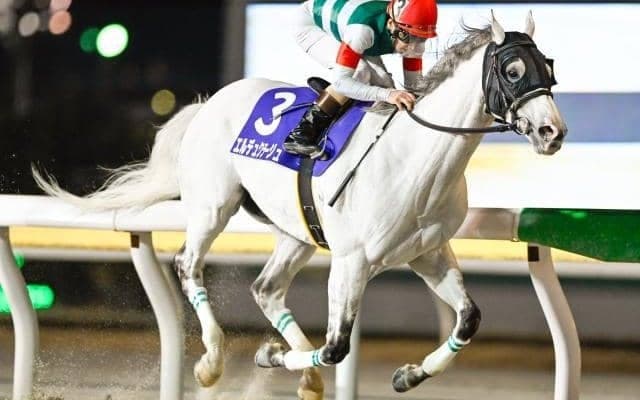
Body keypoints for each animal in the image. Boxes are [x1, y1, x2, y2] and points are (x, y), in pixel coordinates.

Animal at [33, 12, 566, 399]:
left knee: (266, 289)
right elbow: (335, 347)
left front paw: (408, 375)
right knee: (188, 264)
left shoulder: (428, 254)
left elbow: (469, 318)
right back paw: (212, 360)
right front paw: (268, 357)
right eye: (512, 71)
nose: (552, 132)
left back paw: (298, 373)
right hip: (213, 206)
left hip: (296, 232)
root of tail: (207, 103)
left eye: (550, 69)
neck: (416, 160)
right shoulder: (352, 262)